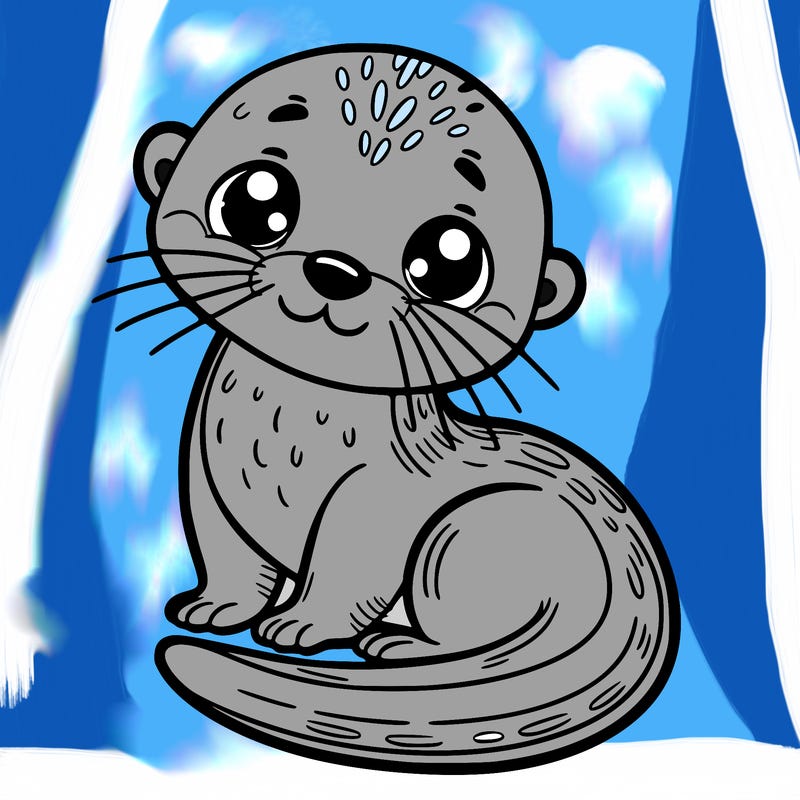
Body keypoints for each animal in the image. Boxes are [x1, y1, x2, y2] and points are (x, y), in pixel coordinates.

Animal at [117, 45, 678, 773]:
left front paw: (301, 625)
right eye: (254, 200)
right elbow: (227, 554)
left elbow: (349, 568)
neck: (282, 436)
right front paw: (215, 607)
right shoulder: (206, 475)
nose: (335, 269)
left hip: (466, 533)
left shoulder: (377, 496)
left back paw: (401, 646)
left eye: (449, 260)